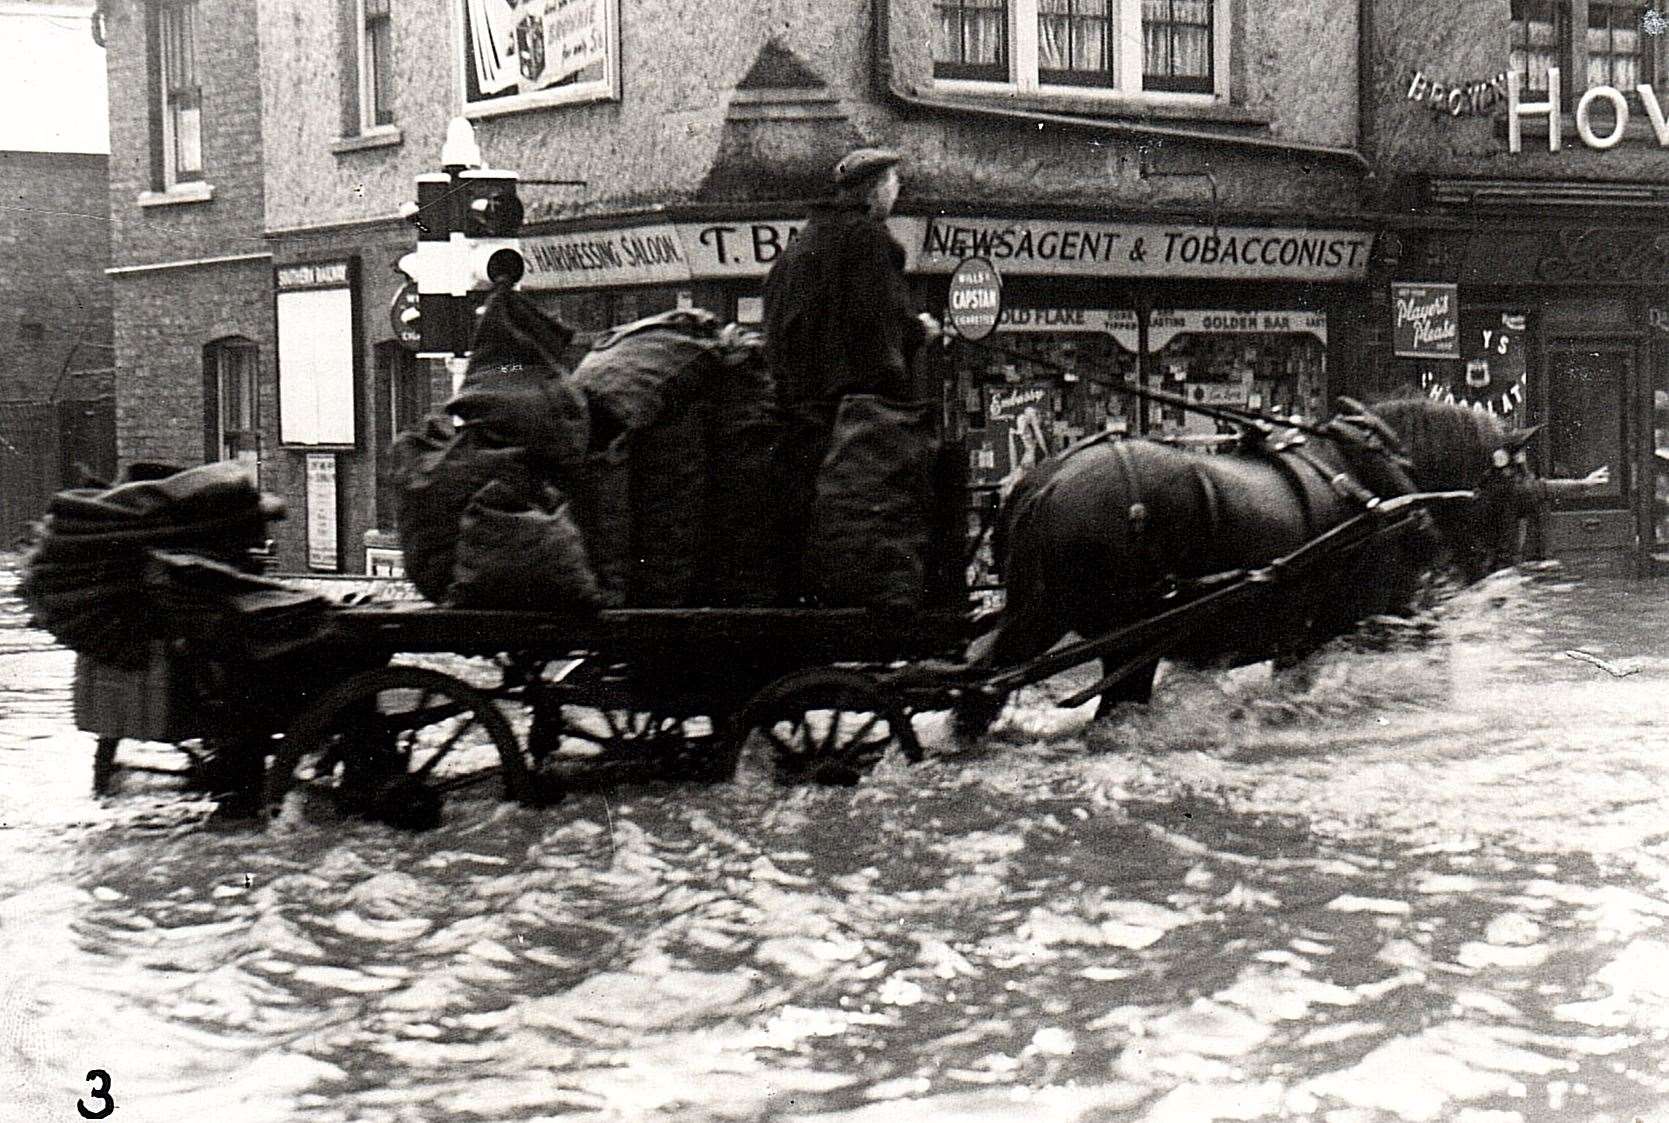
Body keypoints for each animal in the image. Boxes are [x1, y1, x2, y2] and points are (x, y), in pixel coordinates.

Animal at [968, 398, 1528, 724]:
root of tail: (1045, 484)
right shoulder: (1381, 620)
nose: (1498, 580)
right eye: (1515, 490)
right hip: (1123, 641)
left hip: (1045, 615)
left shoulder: (1303, 640)